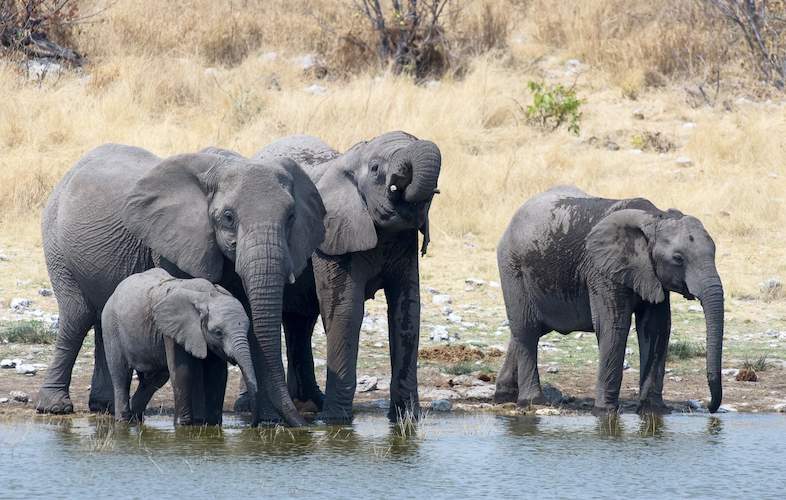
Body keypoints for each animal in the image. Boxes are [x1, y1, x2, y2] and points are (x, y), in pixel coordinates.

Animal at [102, 268, 257, 425]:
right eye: (218, 332)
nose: (252, 424)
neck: (207, 295)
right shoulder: (173, 329)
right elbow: (182, 370)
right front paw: (183, 425)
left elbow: (217, 374)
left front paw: (213, 424)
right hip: (111, 327)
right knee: (121, 375)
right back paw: (123, 421)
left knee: (155, 378)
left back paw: (135, 418)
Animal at [246, 131, 442, 423]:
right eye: (375, 169)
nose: (398, 182)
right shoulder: (331, 236)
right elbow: (346, 311)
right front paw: (336, 421)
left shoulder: (403, 241)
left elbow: (407, 311)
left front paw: (406, 419)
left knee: (300, 321)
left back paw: (310, 402)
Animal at [494, 186, 724, 415]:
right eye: (678, 259)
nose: (709, 407)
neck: (654, 217)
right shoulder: (602, 269)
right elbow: (613, 326)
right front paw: (605, 412)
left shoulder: (652, 275)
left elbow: (656, 327)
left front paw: (653, 411)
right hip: (512, 268)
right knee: (527, 329)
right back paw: (532, 402)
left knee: (527, 330)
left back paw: (504, 396)